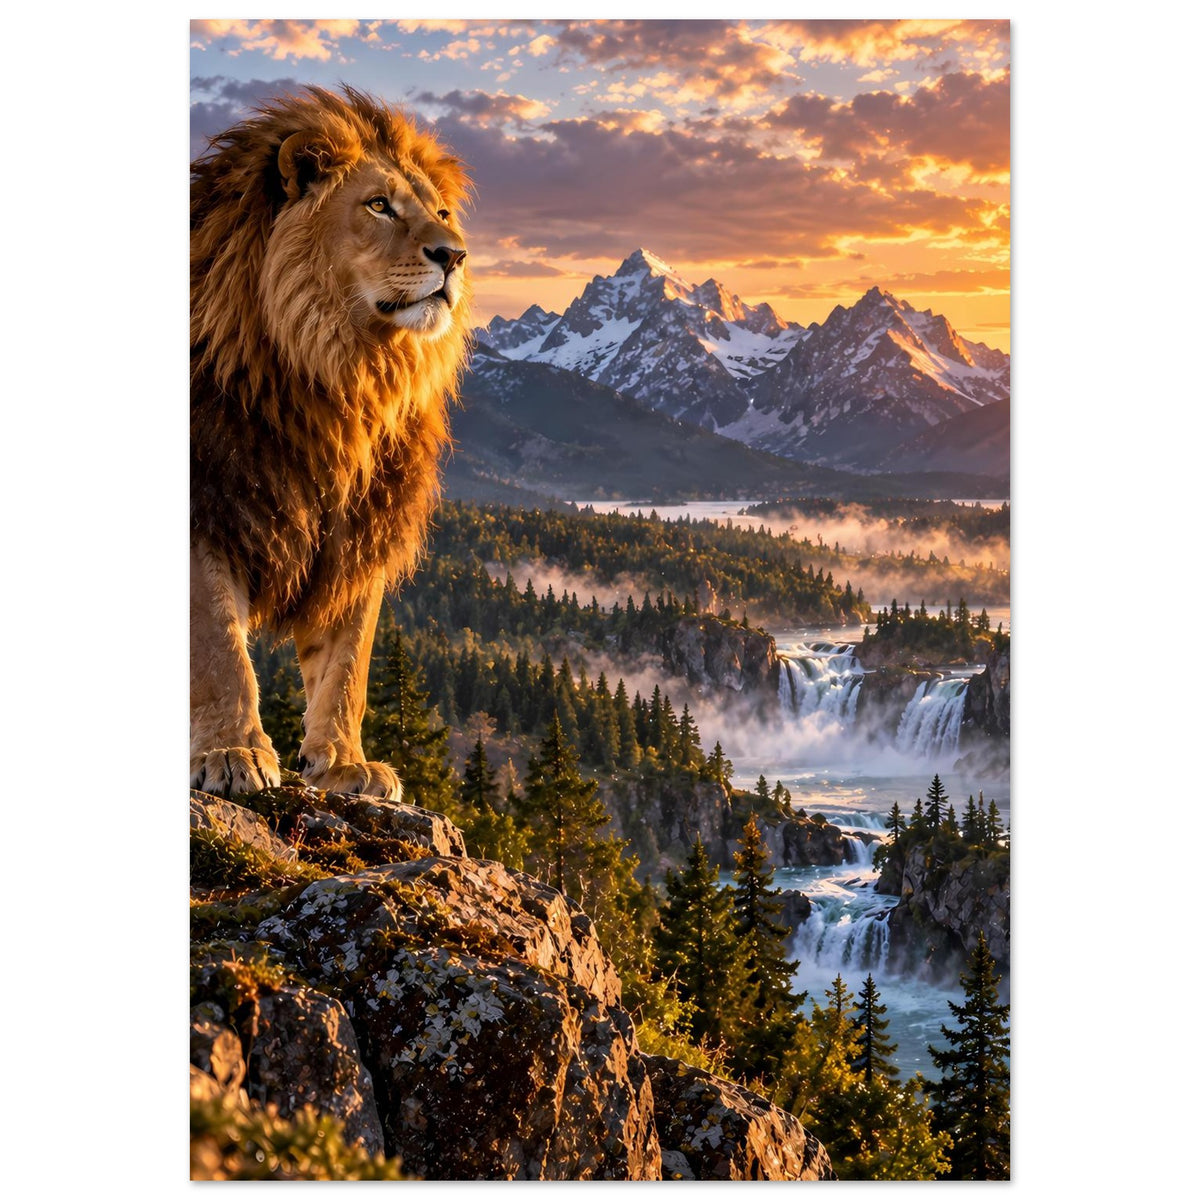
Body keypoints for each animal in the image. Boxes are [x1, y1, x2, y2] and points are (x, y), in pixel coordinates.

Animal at [190, 86, 471, 801]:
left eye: (441, 212)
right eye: (378, 205)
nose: (454, 256)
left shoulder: (358, 530)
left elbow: (348, 664)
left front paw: (344, 763)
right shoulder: (208, 505)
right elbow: (217, 647)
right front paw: (233, 750)